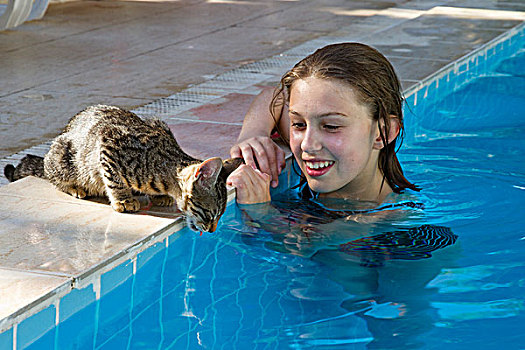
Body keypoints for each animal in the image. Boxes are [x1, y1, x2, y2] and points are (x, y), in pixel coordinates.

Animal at [3, 105, 242, 234]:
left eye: (219, 216)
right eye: (210, 214)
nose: (212, 229)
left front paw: (159, 197)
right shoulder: (109, 142)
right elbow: (114, 179)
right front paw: (124, 200)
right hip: (63, 156)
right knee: (54, 177)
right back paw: (75, 188)